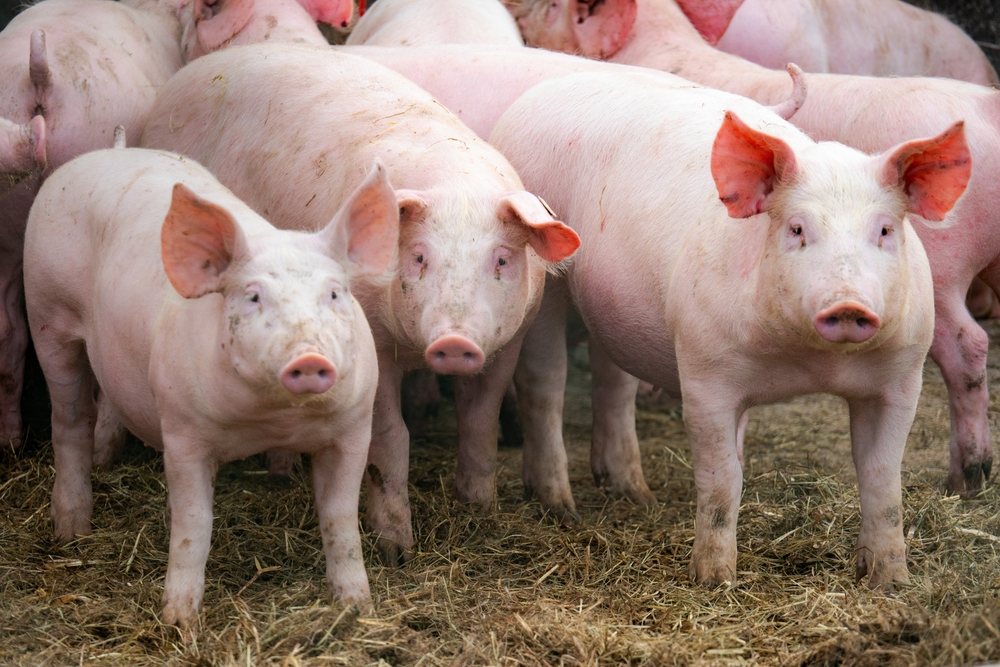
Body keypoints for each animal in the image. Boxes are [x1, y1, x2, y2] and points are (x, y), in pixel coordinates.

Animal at [24, 146, 399, 628]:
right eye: (253, 297)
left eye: (334, 294)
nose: (309, 358)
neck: (274, 421)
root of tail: (115, 149)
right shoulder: (184, 432)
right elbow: (195, 522)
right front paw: (178, 621)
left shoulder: (353, 430)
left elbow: (340, 518)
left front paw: (357, 607)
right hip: (46, 314)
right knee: (70, 422)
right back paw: (71, 534)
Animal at [140, 43, 580, 564]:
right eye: (418, 256)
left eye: (503, 259)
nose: (454, 342)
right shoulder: (372, 349)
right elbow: (390, 437)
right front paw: (396, 552)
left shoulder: (507, 344)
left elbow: (479, 422)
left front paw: (479, 513)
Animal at [490, 70, 971, 586]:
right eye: (797, 229)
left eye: (883, 230)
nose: (847, 303)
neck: (811, 362)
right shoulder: (705, 371)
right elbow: (722, 479)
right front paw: (715, 579)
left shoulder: (901, 378)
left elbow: (882, 478)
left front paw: (890, 582)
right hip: (545, 281)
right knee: (545, 382)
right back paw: (562, 507)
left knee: (614, 383)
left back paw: (636, 494)